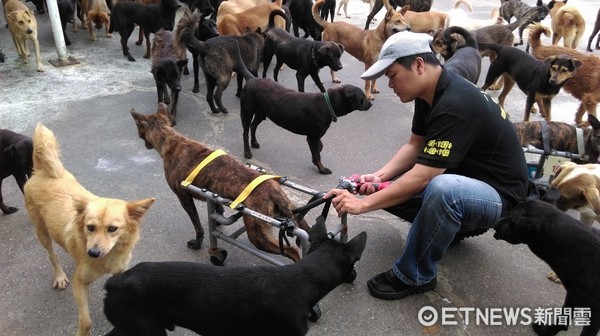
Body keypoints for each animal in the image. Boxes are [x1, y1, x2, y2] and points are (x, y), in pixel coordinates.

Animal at [23, 124, 156, 336]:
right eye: (90, 227)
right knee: (52, 255)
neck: (108, 257)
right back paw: (59, 276)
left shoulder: (120, 272)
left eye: (112, 229)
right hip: (41, 232)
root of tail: (42, 172)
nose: (92, 253)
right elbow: (85, 321)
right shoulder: (79, 283)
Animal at [102, 218, 366, 336]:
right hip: (145, 330)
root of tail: (113, 283)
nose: (354, 276)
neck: (303, 278)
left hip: (130, 327)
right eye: (354, 263)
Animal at [131, 103, 310, 262]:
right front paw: (217, 223)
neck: (171, 139)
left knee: (293, 251)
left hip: (257, 234)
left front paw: (197, 243)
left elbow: (198, 226)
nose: (144, 144)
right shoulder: (212, 193)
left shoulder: (184, 198)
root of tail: (275, 193)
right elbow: (217, 209)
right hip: (292, 210)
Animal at [238, 48, 372, 175]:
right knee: (245, 132)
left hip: (261, 113)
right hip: (246, 112)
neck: (327, 104)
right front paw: (322, 169)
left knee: (253, 126)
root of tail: (251, 78)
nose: (370, 103)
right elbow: (317, 155)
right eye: (362, 99)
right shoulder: (313, 137)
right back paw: (247, 152)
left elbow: (318, 149)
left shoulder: (314, 137)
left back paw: (254, 143)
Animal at [492, 200, 600, 336]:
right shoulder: (573, 294)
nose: (495, 222)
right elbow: (563, 317)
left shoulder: (595, 314)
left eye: (512, 219)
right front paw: (547, 331)